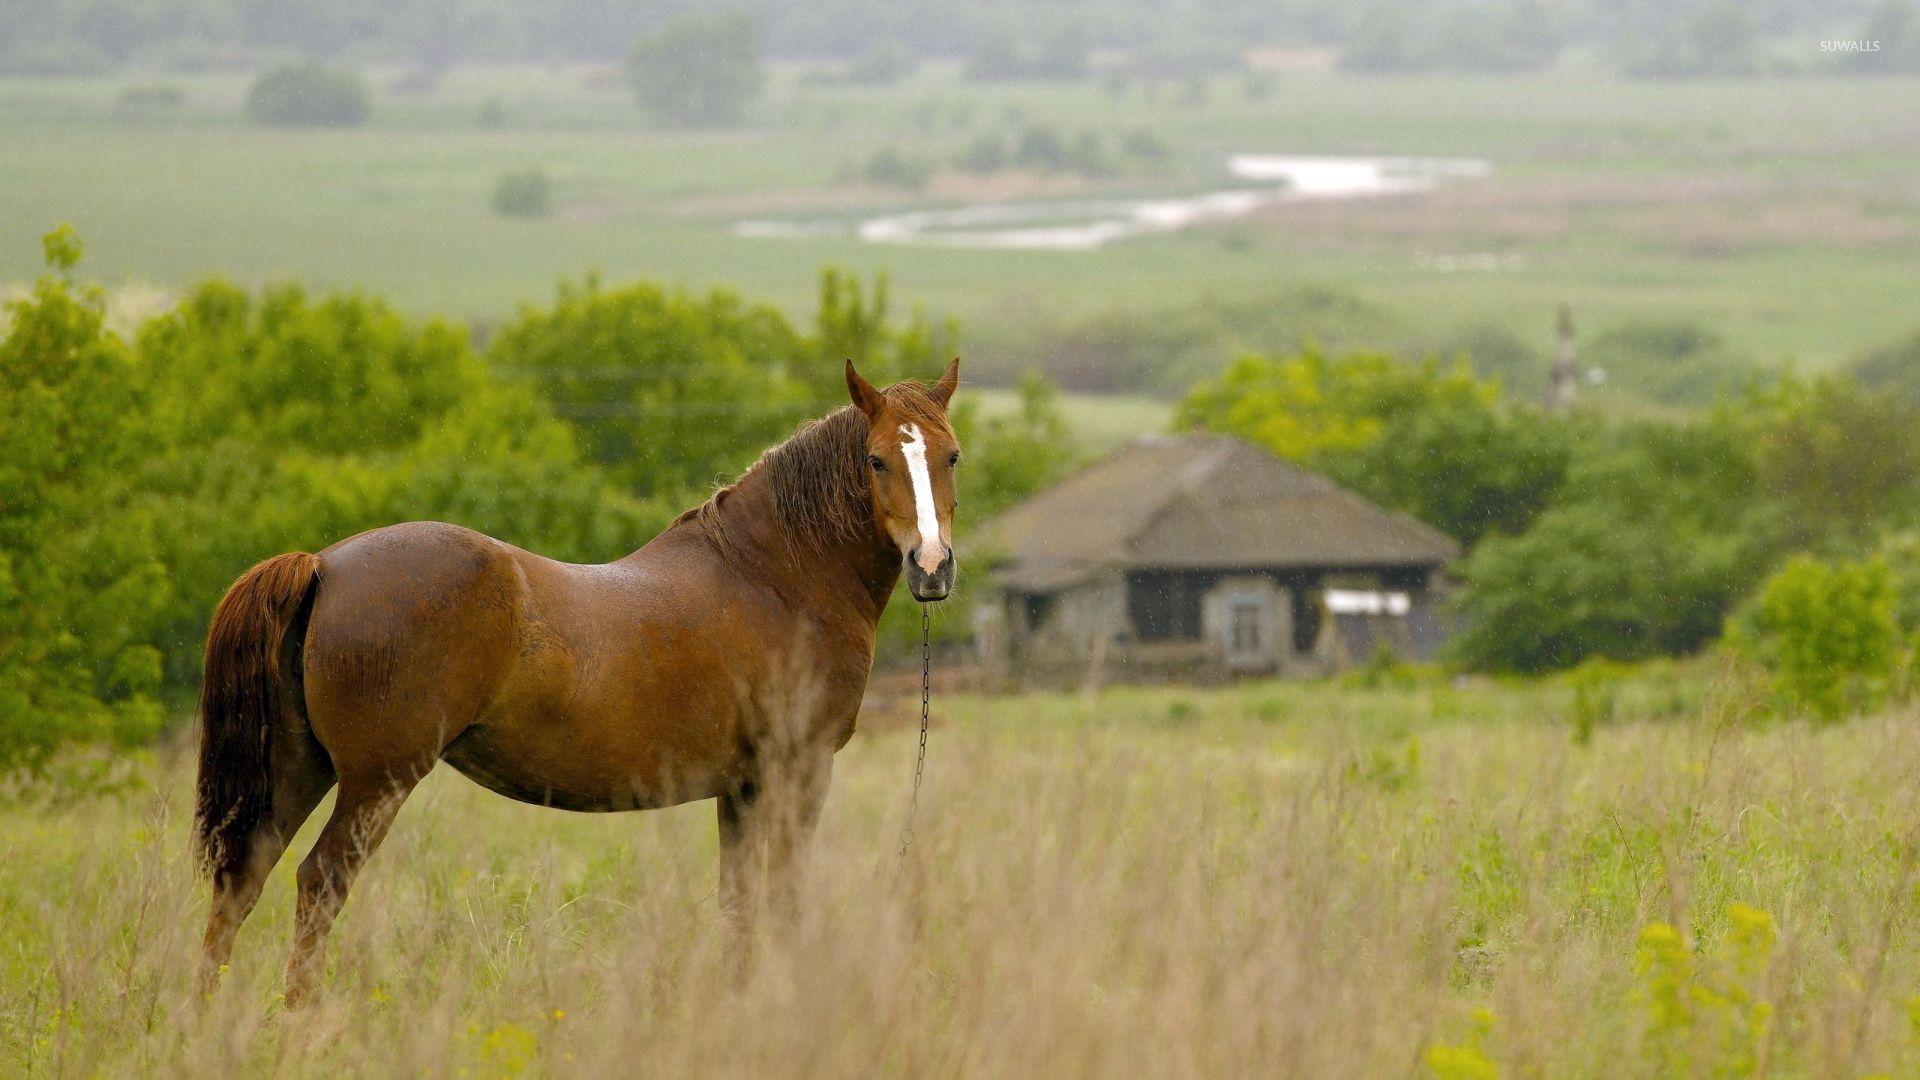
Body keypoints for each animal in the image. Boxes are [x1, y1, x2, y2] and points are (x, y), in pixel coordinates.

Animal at [193, 359, 962, 1005]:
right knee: (319, 882)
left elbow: (739, 902)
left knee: (242, 881)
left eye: (950, 455)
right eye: (876, 459)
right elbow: (782, 898)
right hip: (375, 782)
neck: (774, 574)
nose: (932, 566)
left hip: (300, 767)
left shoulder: (741, 788)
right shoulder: (796, 772)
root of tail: (324, 565)